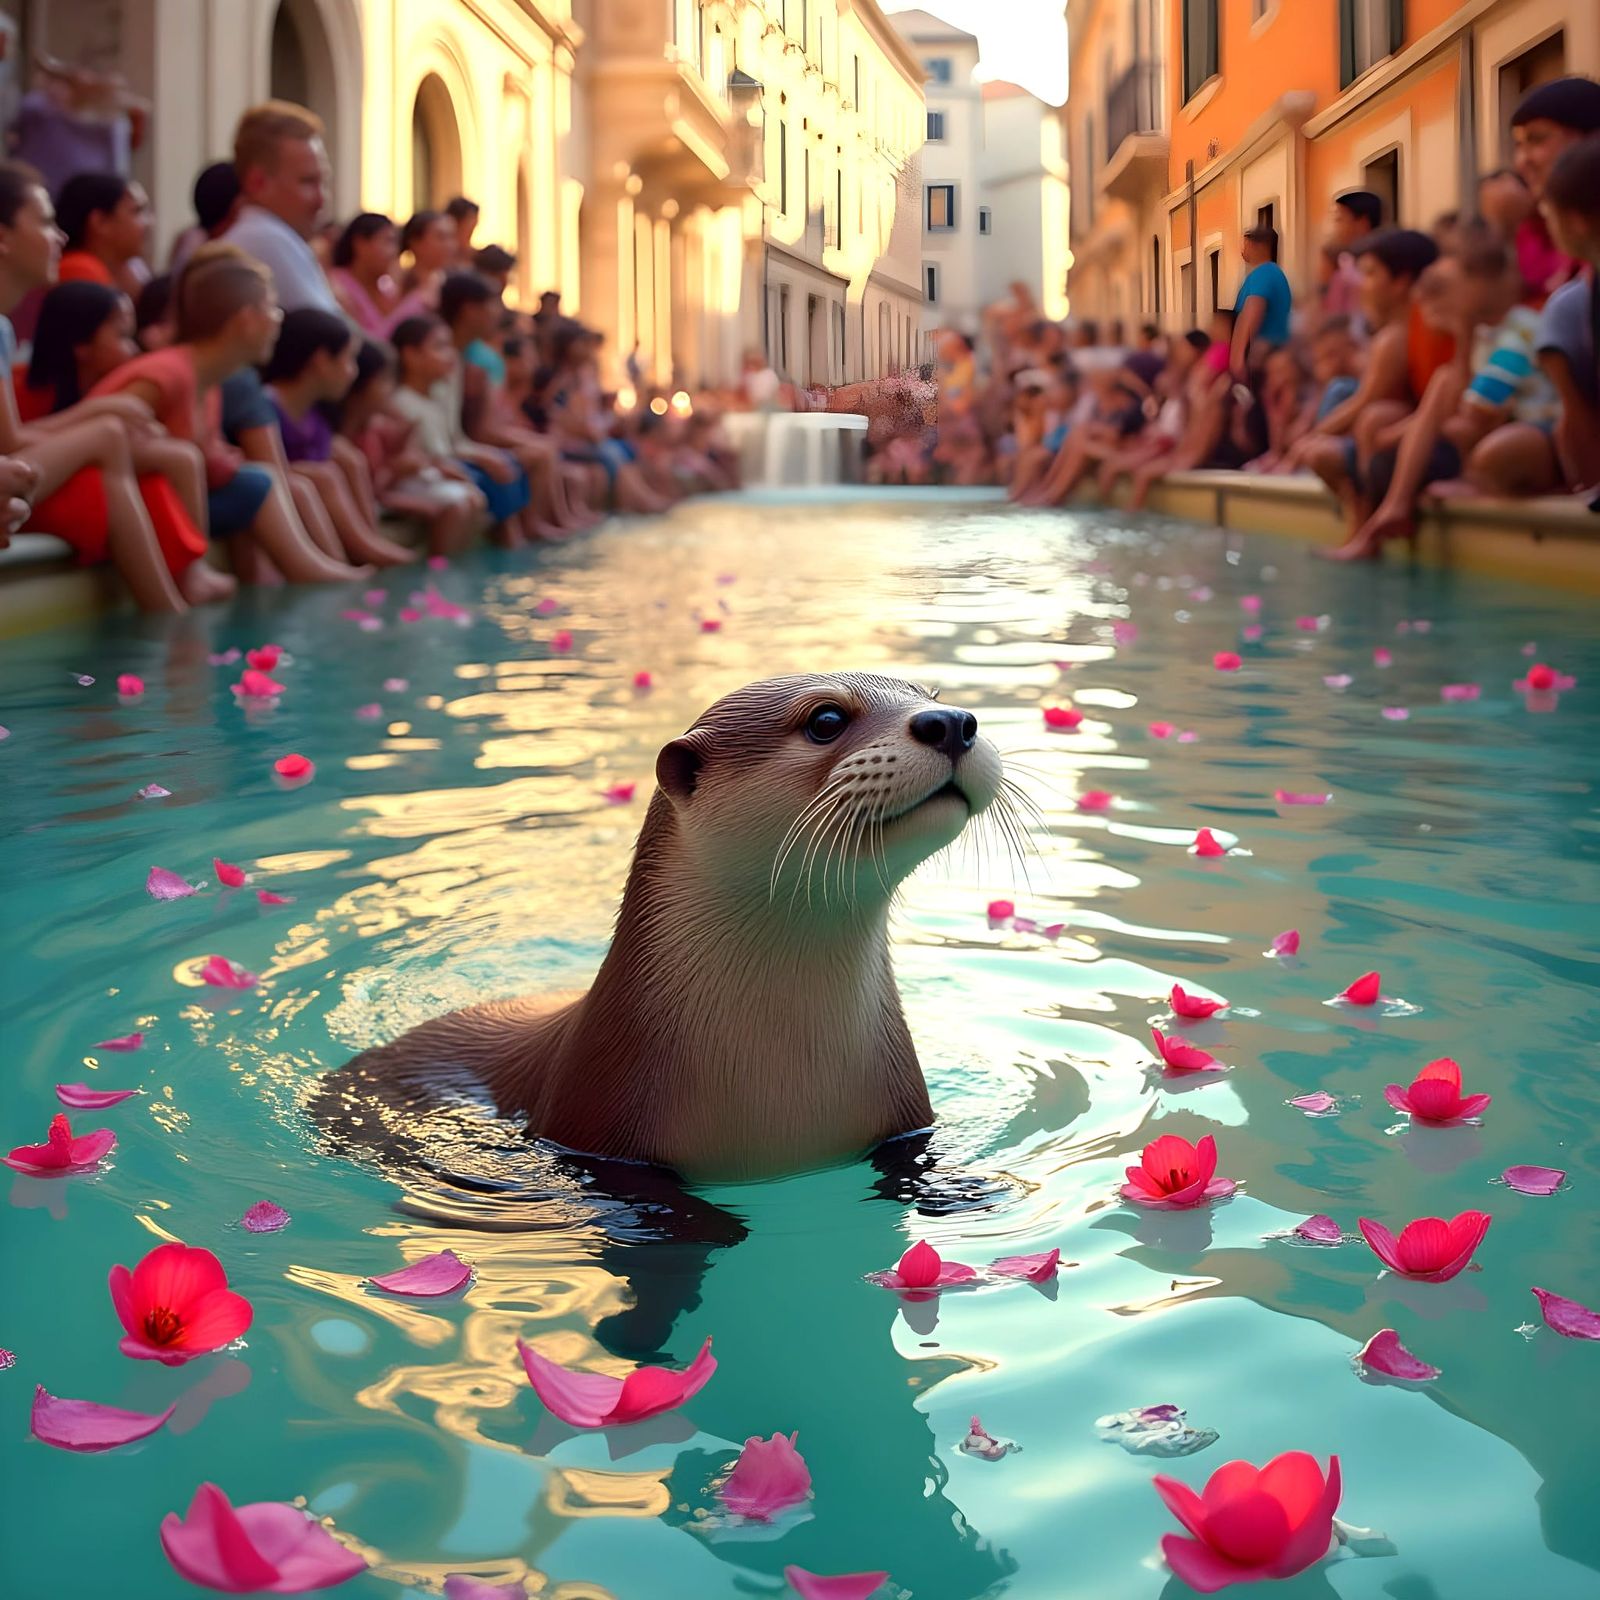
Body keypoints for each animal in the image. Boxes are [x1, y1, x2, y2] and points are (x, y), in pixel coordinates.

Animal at [321, 674, 1003, 1182]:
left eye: (931, 695)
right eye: (826, 720)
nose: (952, 722)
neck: (785, 1066)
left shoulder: (905, 1118)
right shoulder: (600, 1125)